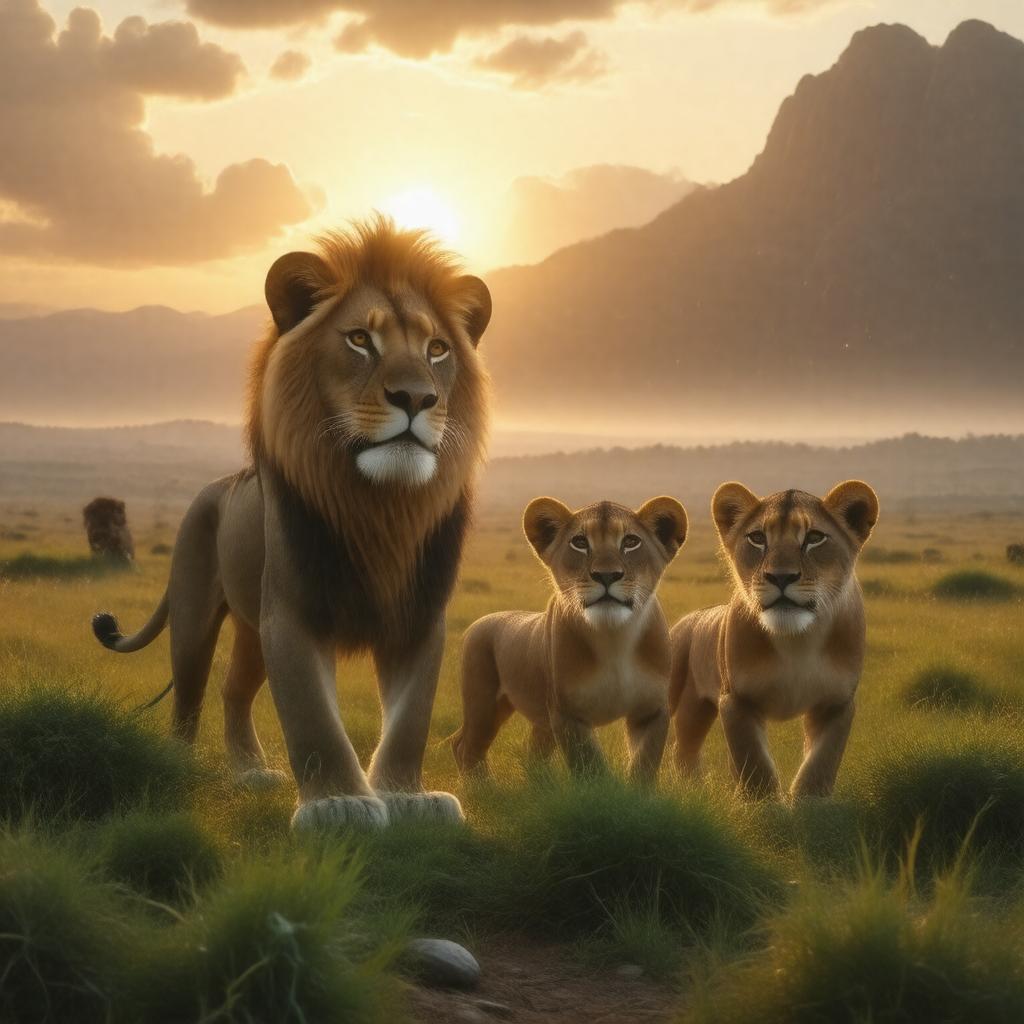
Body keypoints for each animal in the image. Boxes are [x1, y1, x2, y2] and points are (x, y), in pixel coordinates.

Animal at [92, 217, 492, 832]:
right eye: (360, 340)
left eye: (437, 349)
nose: (417, 397)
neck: (380, 508)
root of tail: (210, 489)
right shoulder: (291, 611)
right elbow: (311, 714)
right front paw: (338, 805)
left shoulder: (420, 617)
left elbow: (410, 718)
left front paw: (406, 797)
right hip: (194, 614)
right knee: (190, 694)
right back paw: (181, 763)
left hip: (250, 629)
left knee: (234, 691)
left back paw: (251, 773)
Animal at [453, 496, 687, 783]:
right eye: (580, 542)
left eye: (631, 541)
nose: (606, 575)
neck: (614, 637)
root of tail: (479, 622)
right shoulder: (568, 713)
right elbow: (591, 763)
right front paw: (603, 789)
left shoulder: (651, 710)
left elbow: (645, 763)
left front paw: (636, 793)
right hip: (484, 704)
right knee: (466, 745)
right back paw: (482, 787)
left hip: (532, 717)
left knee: (528, 751)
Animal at [669, 481, 879, 799]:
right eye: (757, 538)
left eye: (814, 538)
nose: (781, 577)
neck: (797, 640)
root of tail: (689, 618)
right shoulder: (737, 700)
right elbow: (755, 763)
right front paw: (764, 806)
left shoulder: (837, 703)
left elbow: (820, 763)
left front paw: (808, 804)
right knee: (680, 746)